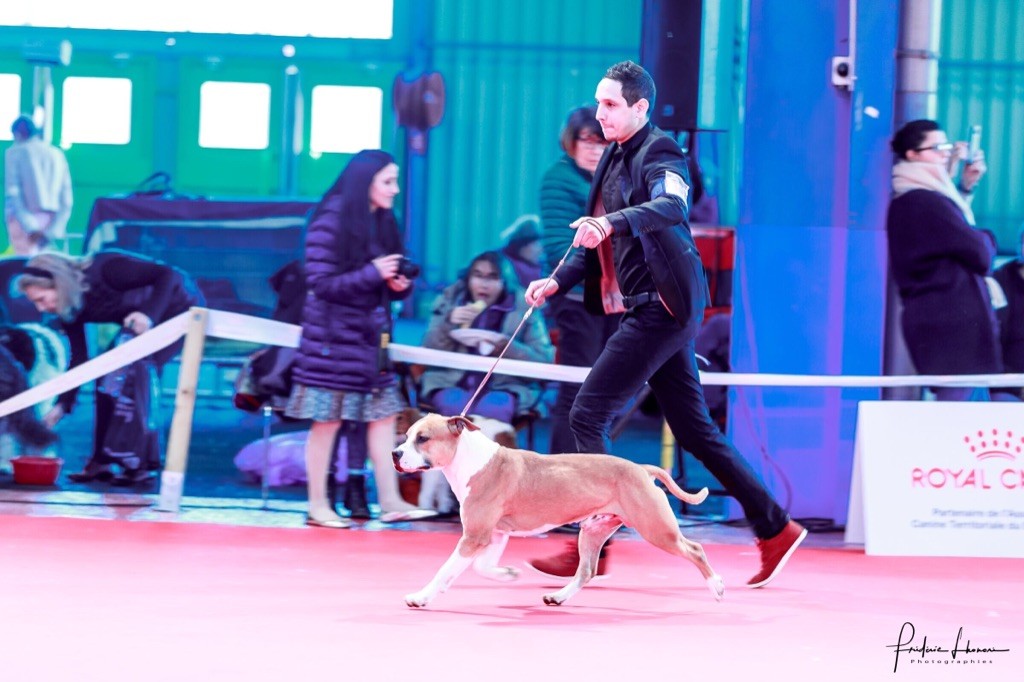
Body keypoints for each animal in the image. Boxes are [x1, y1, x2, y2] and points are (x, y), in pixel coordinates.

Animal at [392, 413, 724, 608]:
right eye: (406, 436)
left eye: (423, 438)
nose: (395, 453)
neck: (471, 459)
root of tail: (642, 469)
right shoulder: (492, 534)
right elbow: (481, 567)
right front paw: (507, 574)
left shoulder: (474, 537)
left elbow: (446, 570)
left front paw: (420, 597)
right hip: (593, 531)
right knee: (586, 570)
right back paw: (558, 596)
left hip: (656, 529)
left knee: (694, 549)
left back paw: (717, 586)